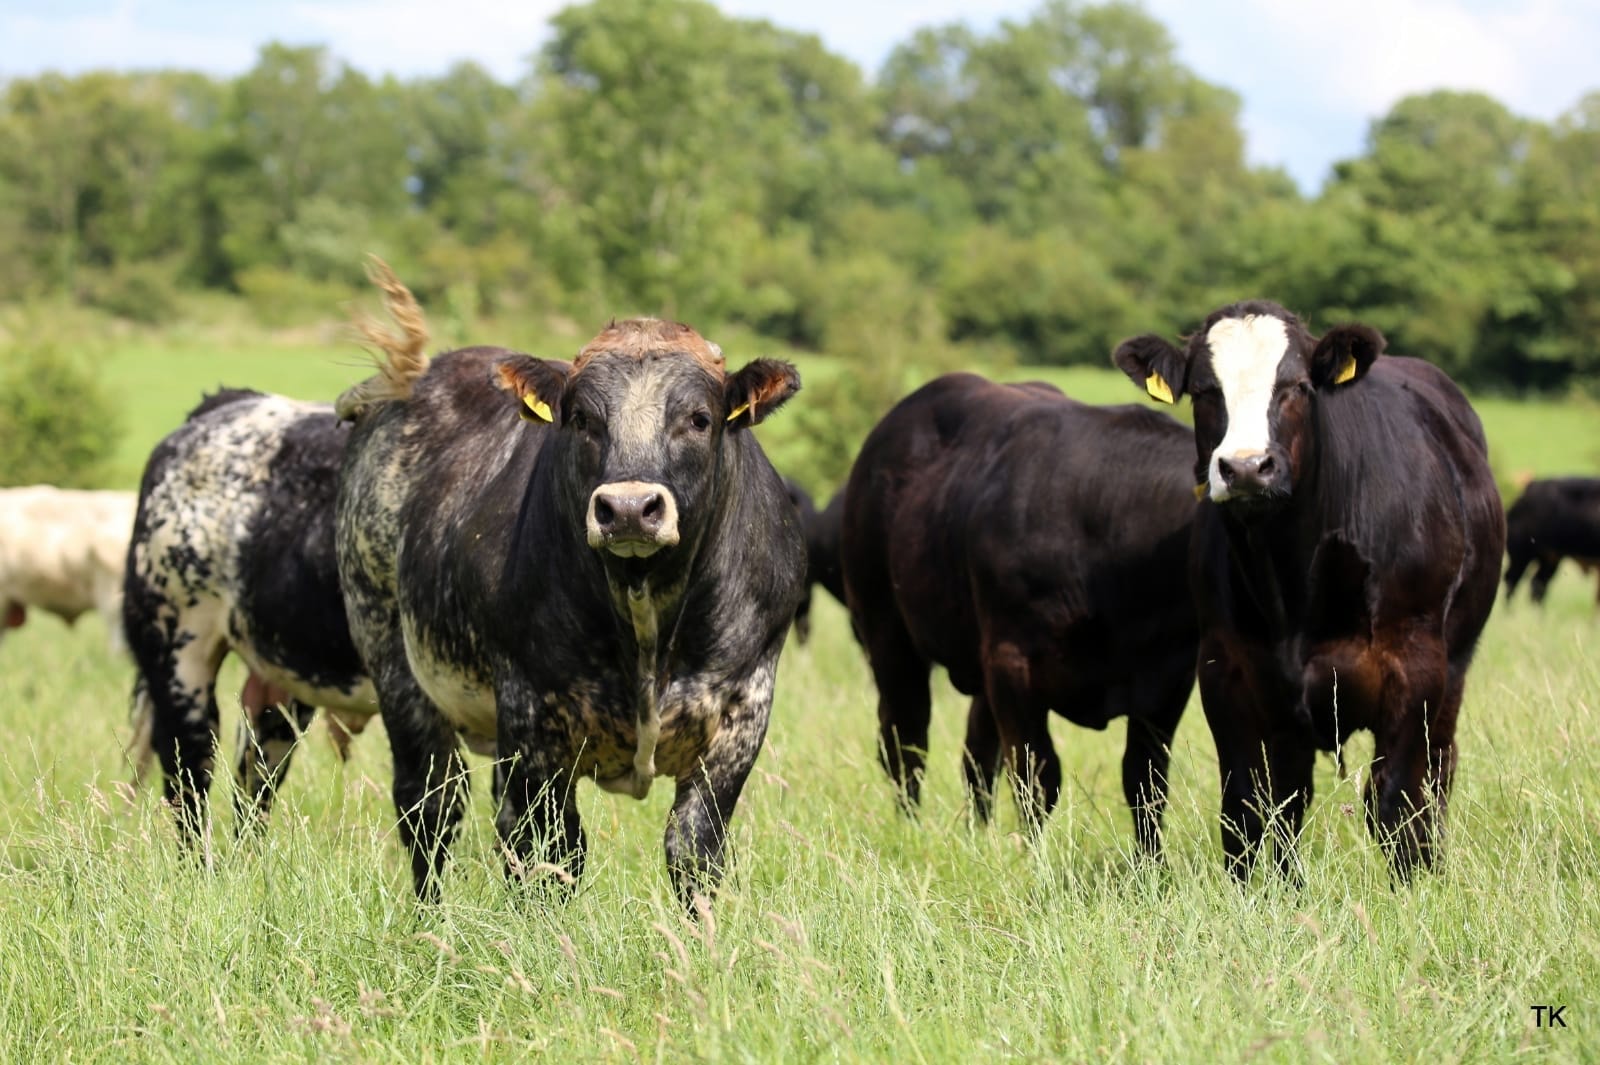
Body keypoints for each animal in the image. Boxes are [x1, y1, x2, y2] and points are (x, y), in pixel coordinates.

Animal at [333, 260, 805, 905]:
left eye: (698, 419)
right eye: (583, 419)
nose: (628, 509)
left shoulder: (742, 710)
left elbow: (694, 849)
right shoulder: (532, 715)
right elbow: (552, 853)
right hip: (394, 663)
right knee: (431, 807)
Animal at [839, 373, 1198, 854]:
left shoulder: (1167, 679)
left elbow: (1145, 781)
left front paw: (1151, 865)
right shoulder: (1014, 663)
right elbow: (1038, 775)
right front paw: (1035, 859)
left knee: (975, 754)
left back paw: (978, 835)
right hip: (887, 631)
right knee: (905, 739)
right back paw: (910, 827)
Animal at [1113, 299, 1504, 881]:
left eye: (1296, 385)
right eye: (1204, 390)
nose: (1246, 467)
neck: (1293, 581)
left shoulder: (1415, 664)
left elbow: (1396, 802)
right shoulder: (1227, 670)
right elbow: (1249, 808)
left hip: (1454, 667)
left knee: (1437, 773)